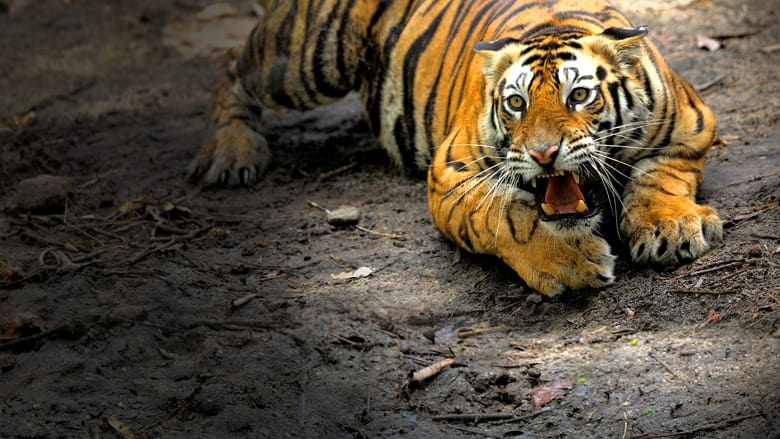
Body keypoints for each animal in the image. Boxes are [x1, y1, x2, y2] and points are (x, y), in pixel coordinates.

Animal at [189, 0, 723, 296]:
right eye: (516, 102)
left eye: (579, 95)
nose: (543, 154)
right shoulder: (451, 173)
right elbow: (509, 216)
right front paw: (569, 260)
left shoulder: (694, 125)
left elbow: (661, 176)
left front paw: (669, 227)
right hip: (306, 57)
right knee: (231, 64)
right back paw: (232, 155)